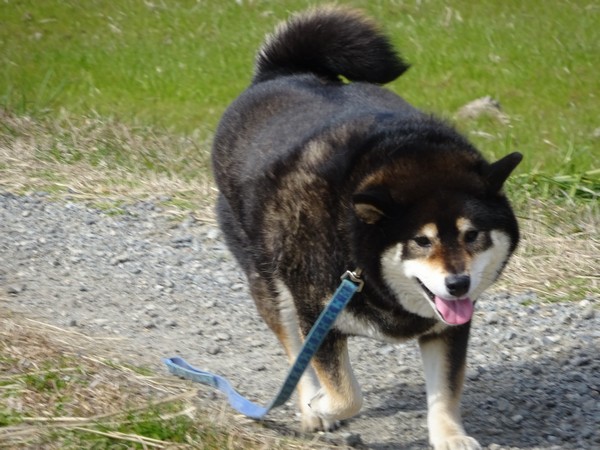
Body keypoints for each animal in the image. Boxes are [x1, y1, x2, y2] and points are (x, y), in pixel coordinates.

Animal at [211, 7, 521, 449]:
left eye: (472, 234)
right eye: (420, 240)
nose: (459, 284)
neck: (356, 247)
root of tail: (280, 74)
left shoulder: (447, 327)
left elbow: (445, 389)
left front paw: (450, 436)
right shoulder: (318, 313)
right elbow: (345, 393)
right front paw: (321, 406)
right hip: (269, 280)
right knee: (293, 351)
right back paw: (309, 407)